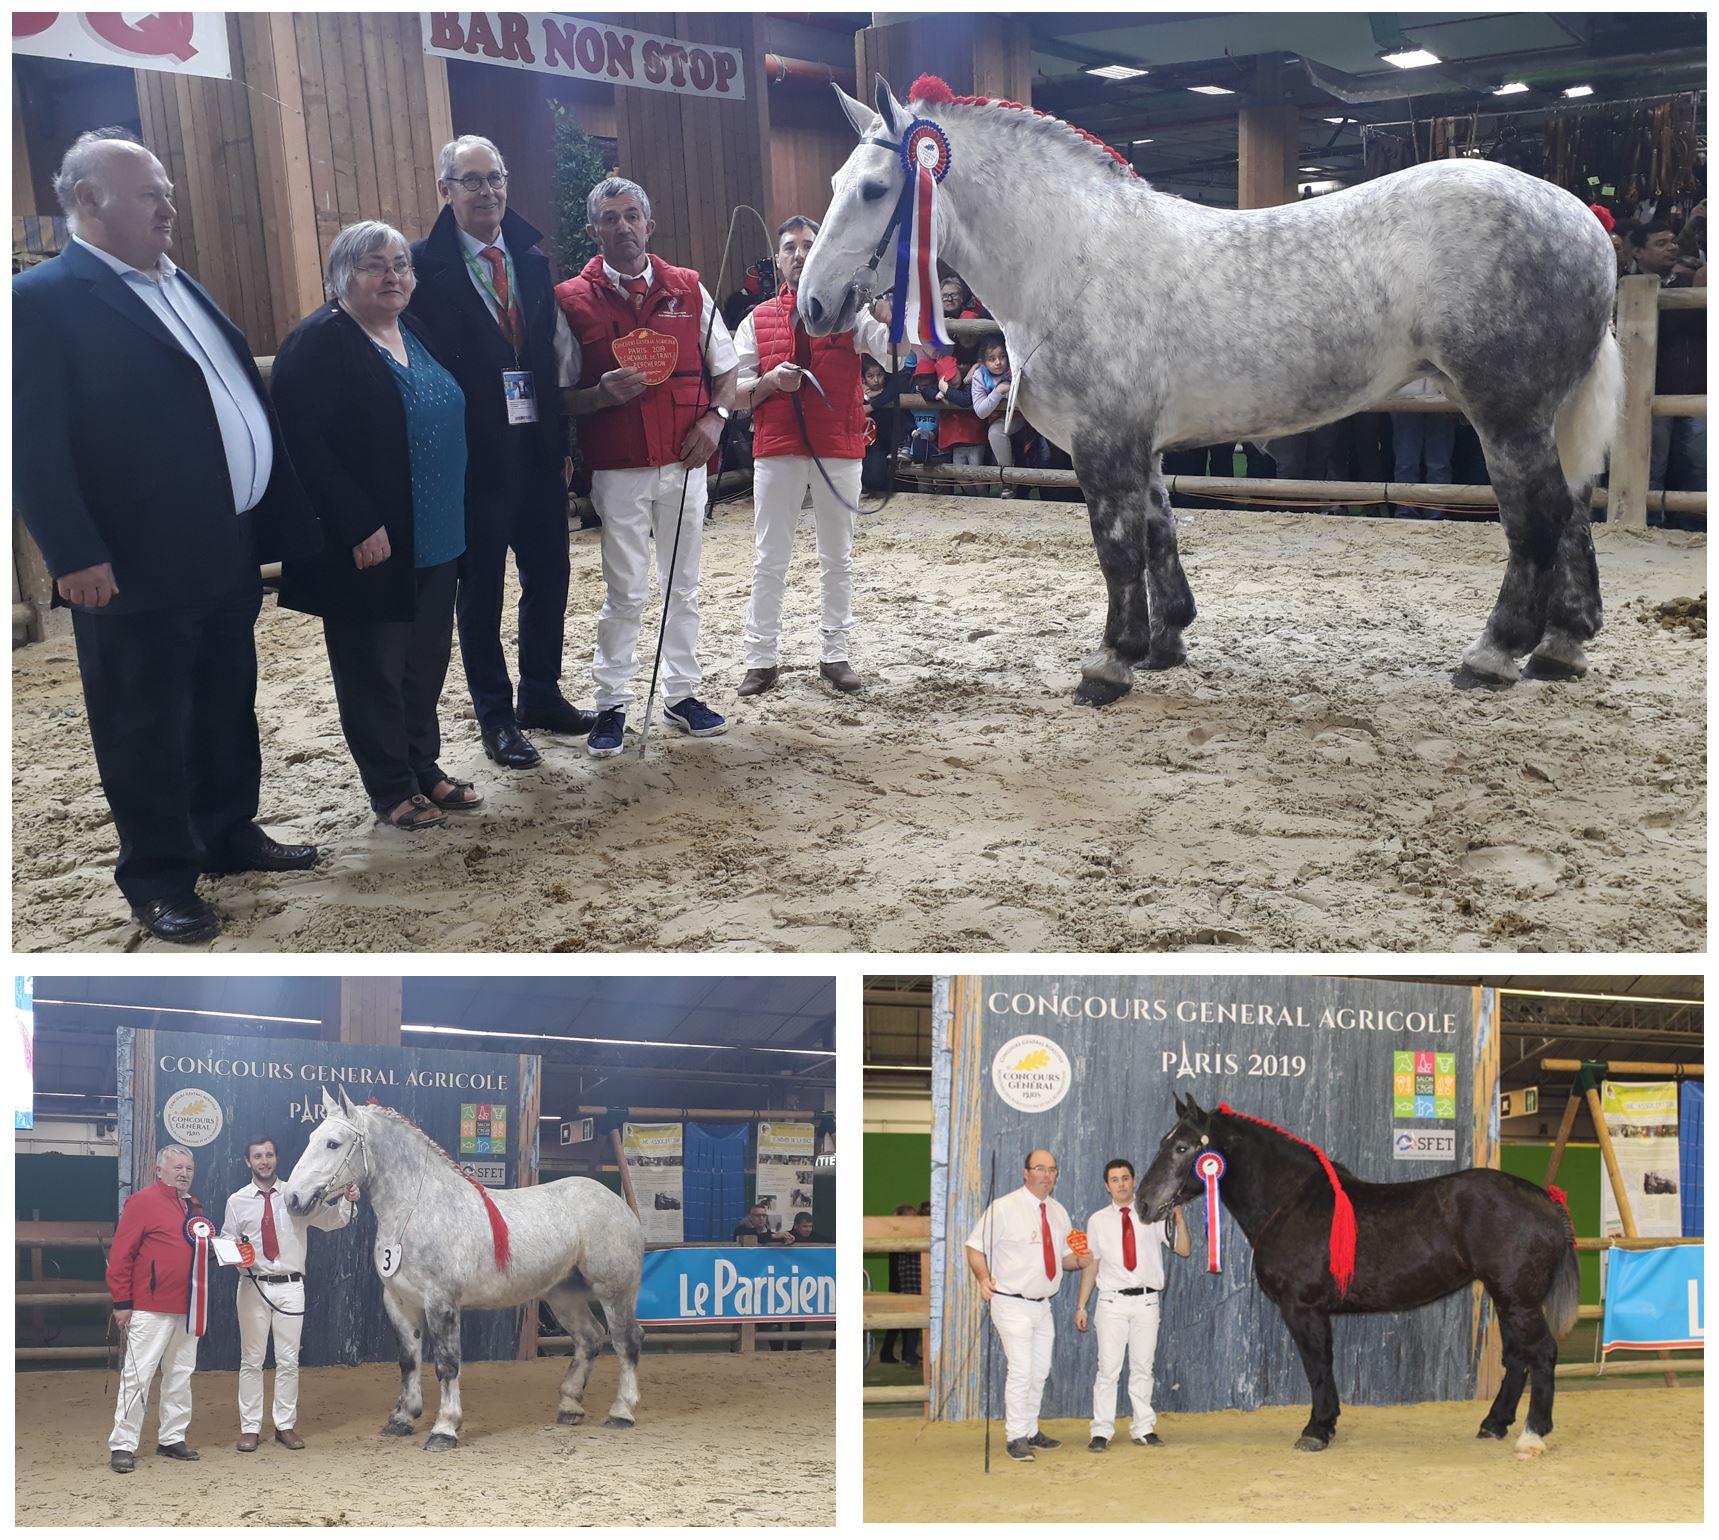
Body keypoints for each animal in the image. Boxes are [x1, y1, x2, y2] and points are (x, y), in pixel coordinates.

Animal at [281, 1086, 646, 1450]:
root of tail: (620, 1205)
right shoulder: (400, 1302)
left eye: (333, 1143)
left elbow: (447, 1363)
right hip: (563, 1294)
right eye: (313, 1137)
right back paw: (569, 1407)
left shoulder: (441, 1302)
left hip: (613, 1291)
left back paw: (621, 1412)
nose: (292, 1198)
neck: (418, 1209)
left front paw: (444, 1429)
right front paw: (402, 1419)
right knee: (590, 1337)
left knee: (626, 1340)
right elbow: (408, 1362)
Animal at [797, 72, 1615, 697]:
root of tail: (1584, 219)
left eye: (874, 189)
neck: (1073, 258)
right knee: (1573, 510)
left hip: (1504, 413)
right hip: (1540, 416)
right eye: (834, 182)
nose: (813, 305)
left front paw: (1110, 663)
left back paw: (1494, 653)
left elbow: (1117, 545)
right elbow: (1160, 531)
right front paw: (1166, 642)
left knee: (1535, 520)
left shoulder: (1104, 443)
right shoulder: (1145, 443)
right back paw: (1560, 649)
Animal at [1134, 1093, 1574, 1457]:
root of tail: (1546, 1200)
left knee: (1542, 1353)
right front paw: (1326, 1425)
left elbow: (1317, 1365)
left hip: (1519, 1301)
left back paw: (1532, 1435)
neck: (1291, 1203)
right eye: (1163, 1143)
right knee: (1517, 1357)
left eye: (1182, 1147)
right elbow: (1322, 1365)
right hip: (1507, 1298)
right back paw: (1493, 1425)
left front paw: (1316, 1430)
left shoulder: (1302, 1307)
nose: (1143, 1204)